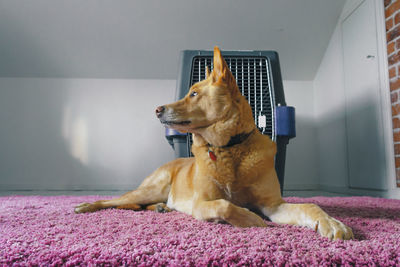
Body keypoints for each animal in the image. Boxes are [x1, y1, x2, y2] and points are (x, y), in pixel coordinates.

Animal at [74, 47, 354, 242]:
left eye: (194, 93)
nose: (157, 110)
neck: (229, 148)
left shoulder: (273, 205)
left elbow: (311, 205)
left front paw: (332, 223)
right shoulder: (201, 203)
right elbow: (225, 204)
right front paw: (249, 218)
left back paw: (161, 208)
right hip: (150, 189)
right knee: (113, 201)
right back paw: (86, 206)